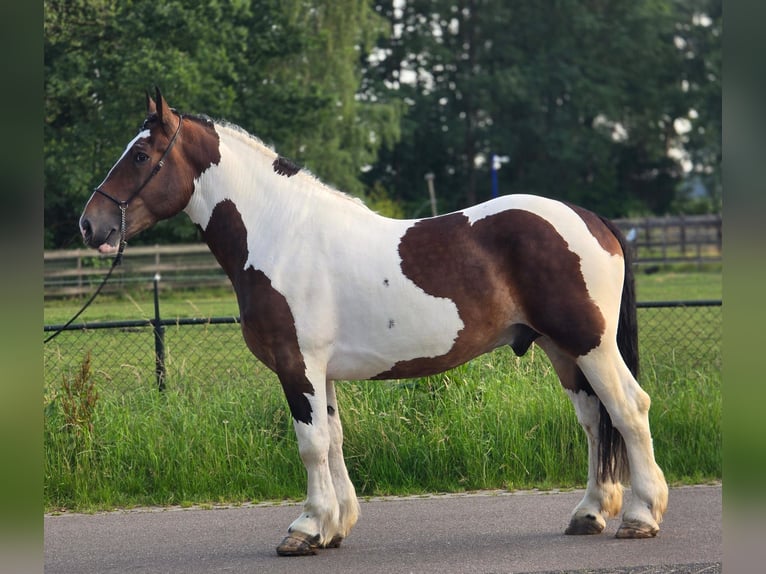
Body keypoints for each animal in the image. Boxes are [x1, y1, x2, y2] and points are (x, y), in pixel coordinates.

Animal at [79, 89, 668, 556]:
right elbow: (334, 439)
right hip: (561, 349)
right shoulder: (321, 374)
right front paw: (334, 527)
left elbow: (311, 444)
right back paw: (589, 513)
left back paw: (641, 516)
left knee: (628, 409)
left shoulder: (297, 366)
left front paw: (305, 529)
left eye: (140, 155)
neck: (281, 234)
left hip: (590, 344)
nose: (91, 224)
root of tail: (590, 219)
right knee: (593, 420)